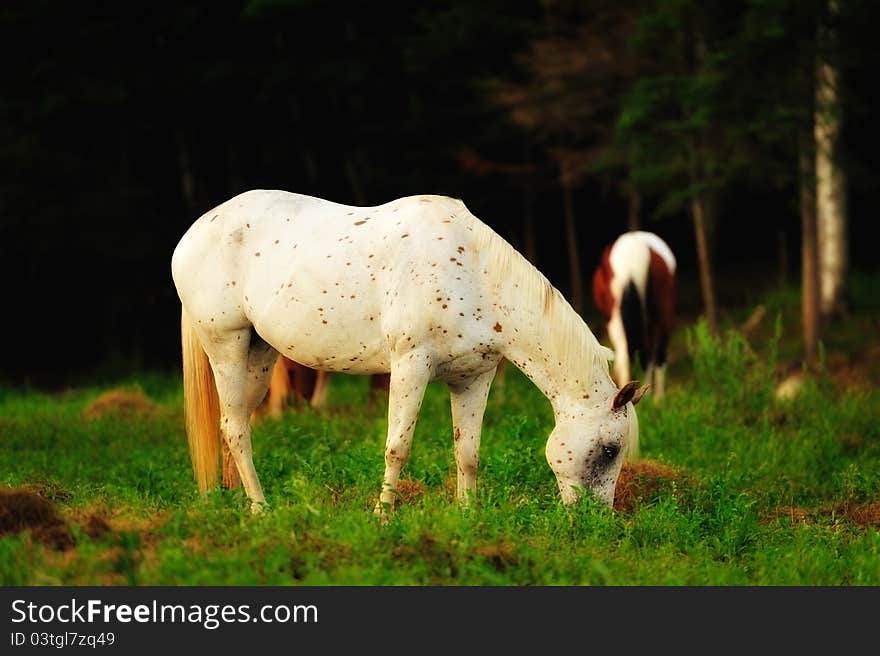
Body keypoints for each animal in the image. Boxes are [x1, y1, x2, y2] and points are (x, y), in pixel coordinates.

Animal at [170, 191, 648, 516]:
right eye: (610, 450)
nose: (594, 520)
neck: (475, 272)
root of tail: (196, 230)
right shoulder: (409, 368)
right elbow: (397, 447)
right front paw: (383, 516)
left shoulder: (473, 378)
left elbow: (467, 452)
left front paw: (467, 516)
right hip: (226, 346)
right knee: (234, 428)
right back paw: (260, 510)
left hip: (259, 355)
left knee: (234, 424)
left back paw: (233, 500)